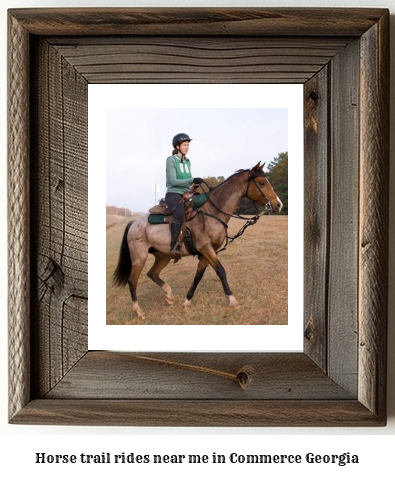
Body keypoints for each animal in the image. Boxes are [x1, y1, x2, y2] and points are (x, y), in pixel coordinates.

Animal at [113, 162, 284, 320]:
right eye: (261, 183)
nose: (278, 204)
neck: (212, 212)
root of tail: (133, 223)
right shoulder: (206, 248)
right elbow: (221, 271)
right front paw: (232, 300)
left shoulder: (209, 251)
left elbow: (198, 275)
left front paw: (187, 301)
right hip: (139, 258)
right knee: (132, 281)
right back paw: (139, 311)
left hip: (163, 256)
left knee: (152, 273)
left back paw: (169, 295)